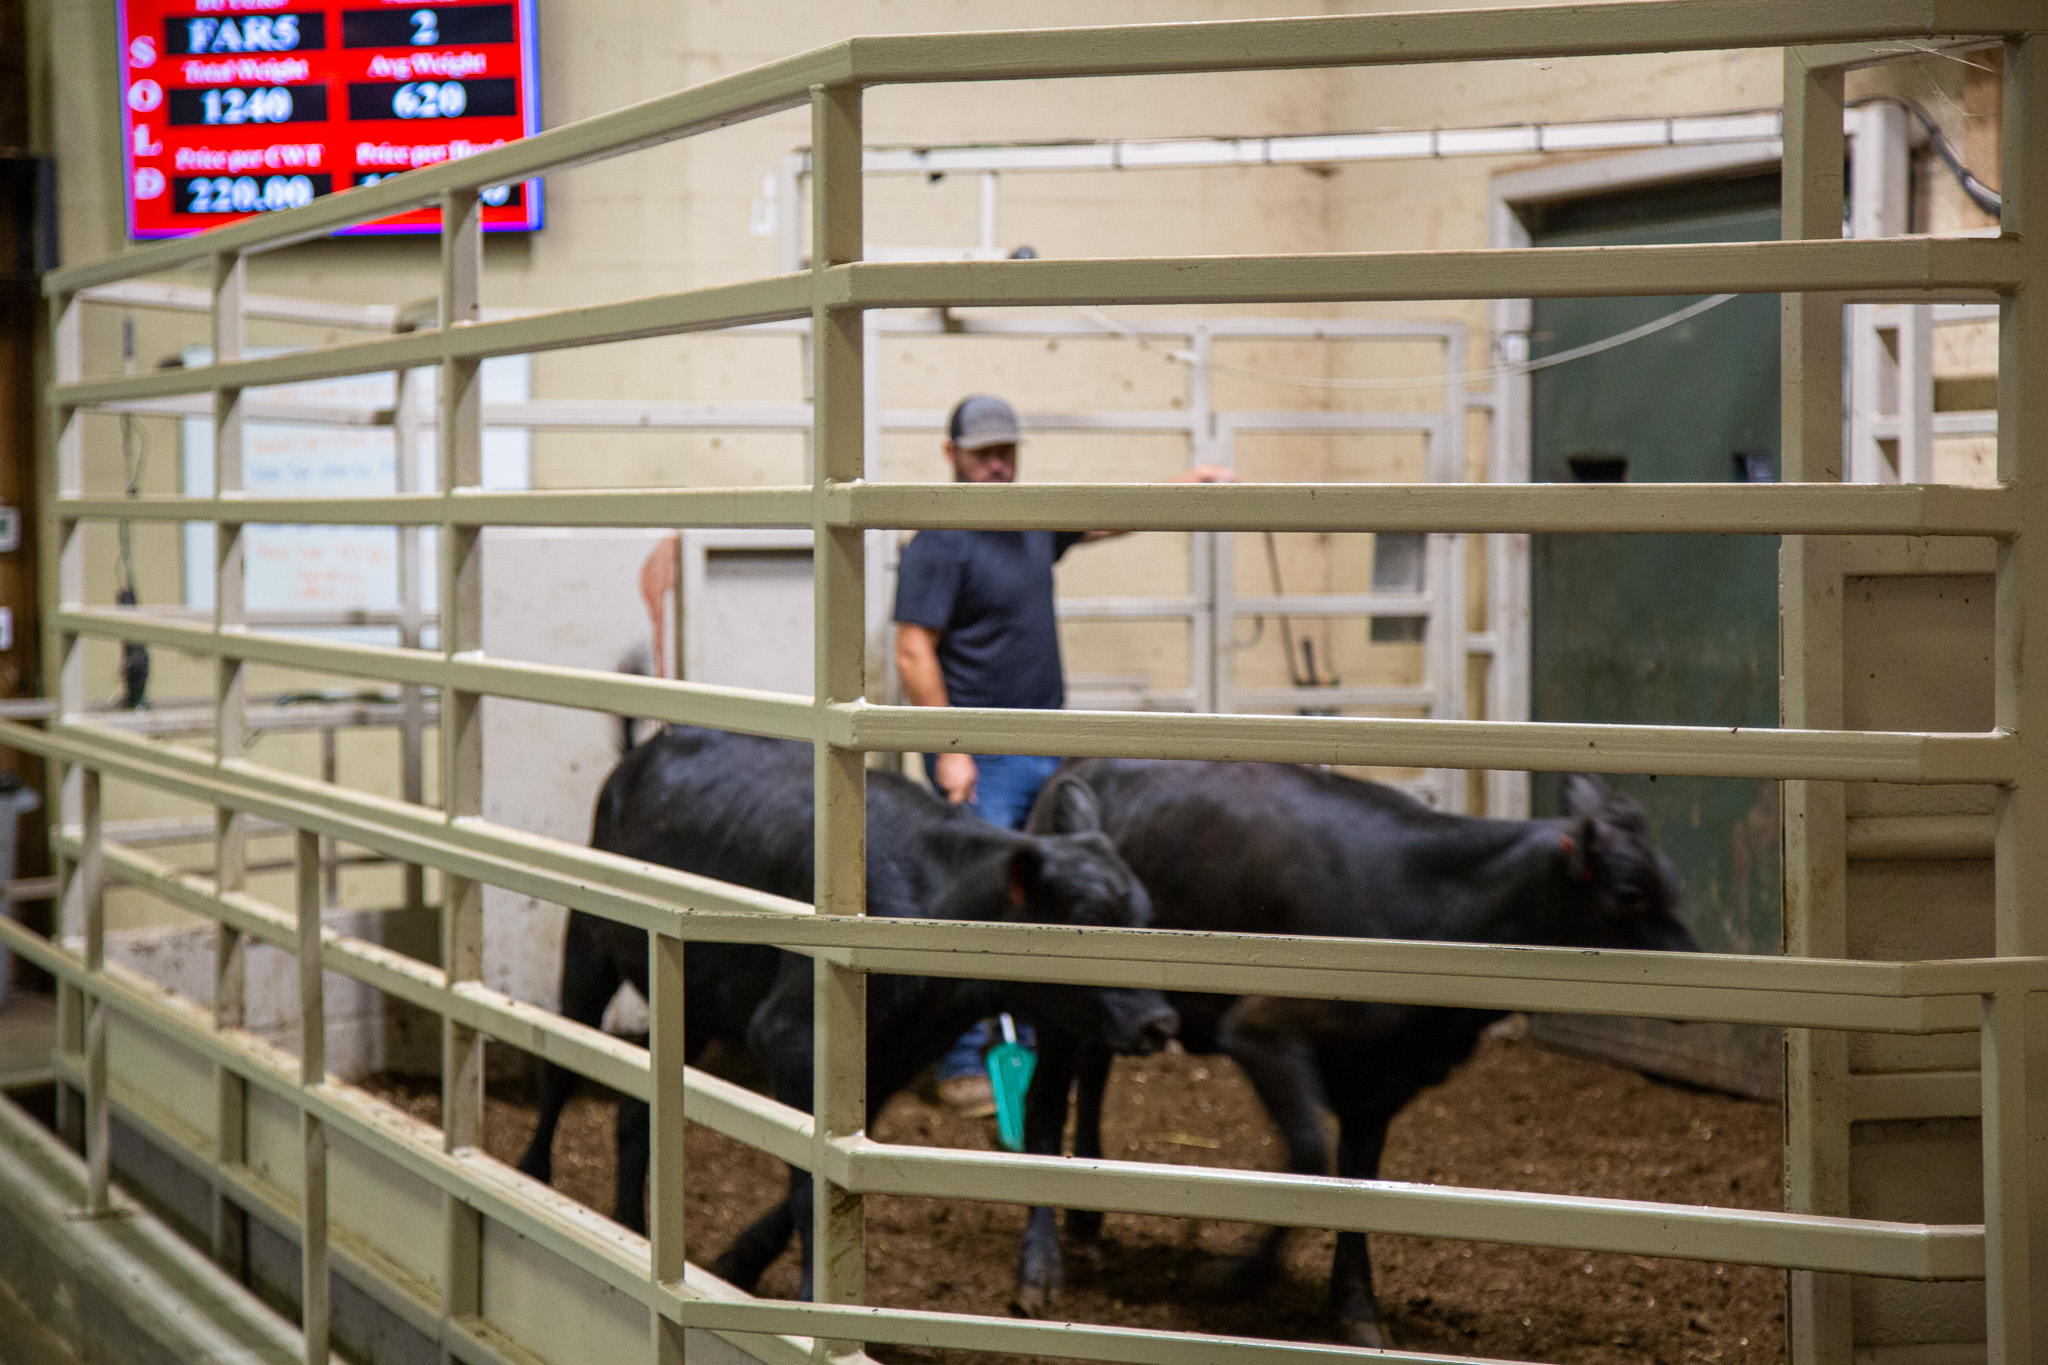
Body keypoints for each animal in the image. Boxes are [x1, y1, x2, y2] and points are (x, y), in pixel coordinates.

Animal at [520, 724, 1179, 1293]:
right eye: (1088, 920)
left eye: (1147, 916)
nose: (1160, 1023)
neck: (930, 896)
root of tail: (643, 753)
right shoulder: (790, 1038)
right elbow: (807, 1183)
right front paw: (812, 1292)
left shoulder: (890, 1059)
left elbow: (825, 1173)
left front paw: (741, 1260)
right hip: (587, 947)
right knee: (560, 1064)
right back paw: (532, 1173)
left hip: (692, 1005)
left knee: (638, 1109)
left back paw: (630, 1224)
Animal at [1011, 765, 1695, 1350]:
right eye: (1630, 892)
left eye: (1673, 884)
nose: (1696, 970)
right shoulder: (1263, 1031)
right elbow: (1312, 1157)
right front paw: (1234, 1277)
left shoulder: (1382, 1080)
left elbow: (1355, 1184)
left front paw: (1356, 1308)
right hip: (1057, 1006)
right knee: (1043, 1106)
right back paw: (1039, 1269)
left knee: (1093, 1072)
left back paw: (1088, 1217)